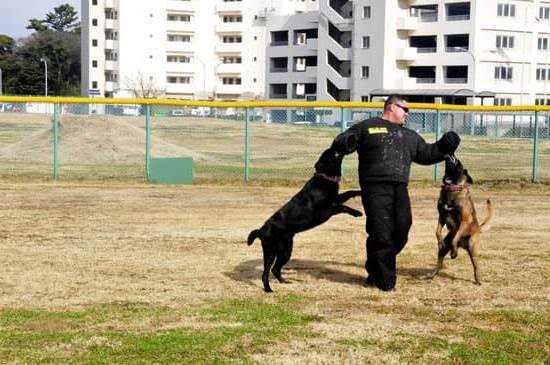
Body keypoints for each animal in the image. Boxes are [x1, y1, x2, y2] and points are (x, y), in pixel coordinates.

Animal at [249, 146, 362, 292]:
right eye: (331, 152)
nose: (333, 146)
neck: (324, 177)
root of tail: (261, 229)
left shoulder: (335, 199)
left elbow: (349, 192)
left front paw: (360, 192)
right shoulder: (325, 211)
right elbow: (343, 207)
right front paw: (357, 212)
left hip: (285, 251)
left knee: (275, 269)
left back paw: (284, 281)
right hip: (270, 251)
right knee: (265, 273)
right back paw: (268, 289)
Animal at [426, 154, 496, 284]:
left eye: (459, 162)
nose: (452, 154)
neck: (452, 187)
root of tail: (478, 228)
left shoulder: (465, 220)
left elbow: (455, 238)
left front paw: (454, 252)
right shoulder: (441, 216)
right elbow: (437, 232)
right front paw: (440, 241)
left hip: (472, 246)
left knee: (476, 265)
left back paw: (478, 279)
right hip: (443, 250)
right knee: (439, 263)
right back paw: (431, 276)